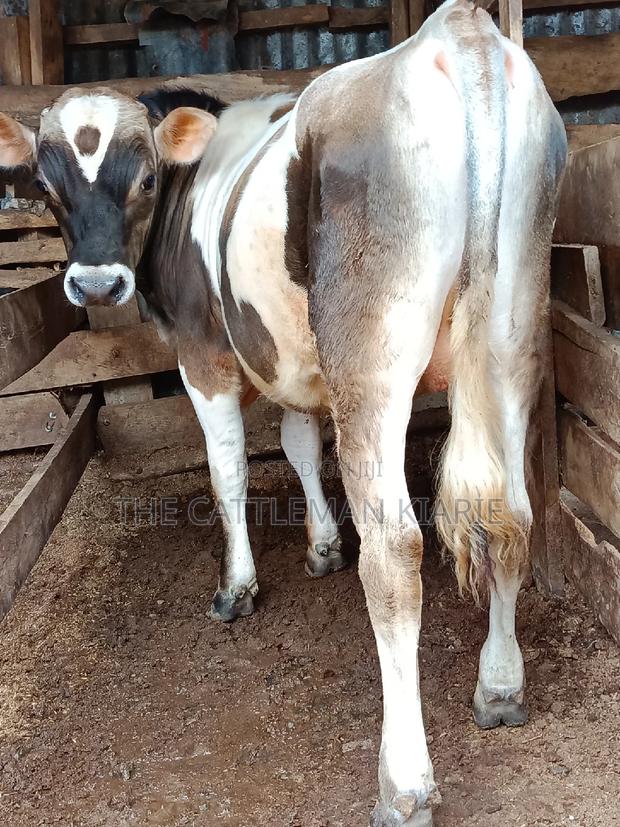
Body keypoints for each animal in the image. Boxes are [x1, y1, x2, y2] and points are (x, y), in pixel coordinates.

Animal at [0, 1, 566, 823]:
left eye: (145, 177)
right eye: (45, 184)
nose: (97, 284)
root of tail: (458, 33)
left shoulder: (204, 352)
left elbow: (228, 470)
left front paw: (238, 585)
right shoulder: (295, 359)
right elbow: (300, 442)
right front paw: (321, 543)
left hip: (374, 361)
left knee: (394, 552)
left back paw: (404, 782)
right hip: (513, 339)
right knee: (511, 516)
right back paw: (499, 685)